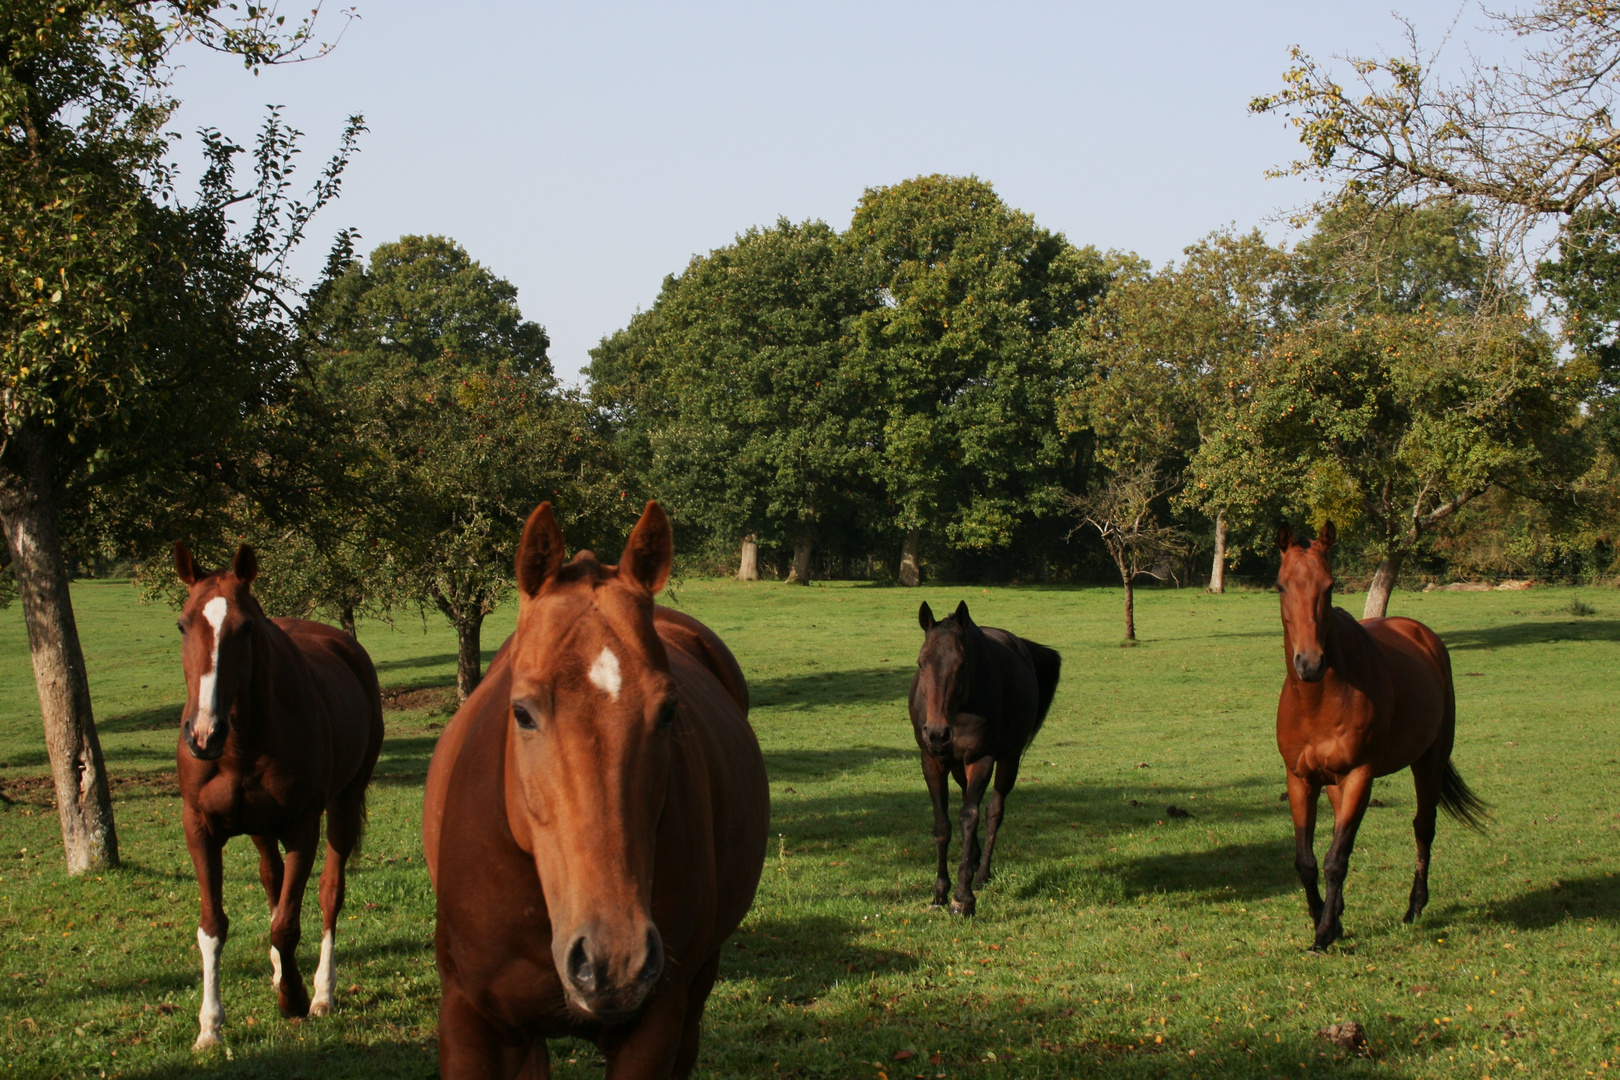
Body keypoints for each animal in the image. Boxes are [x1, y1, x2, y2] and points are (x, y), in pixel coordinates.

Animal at [172, 544, 383, 1049]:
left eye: (246, 628)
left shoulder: (302, 826)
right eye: (183, 625)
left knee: (329, 893)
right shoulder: (199, 828)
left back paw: (322, 991)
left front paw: (295, 998)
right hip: (260, 828)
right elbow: (213, 925)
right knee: (272, 880)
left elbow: (287, 925)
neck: (239, 745)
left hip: (343, 805)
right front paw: (210, 1025)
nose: (203, 734)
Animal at [913, 605, 1062, 919]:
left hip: (1008, 759)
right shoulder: (931, 760)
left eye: (963, 664)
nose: (937, 733)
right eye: (921, 663)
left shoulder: (982, 760)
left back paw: (980, 872)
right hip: (957, 766)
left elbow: (971, 817)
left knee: (994, 810)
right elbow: (942, 824)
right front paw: (939, 892)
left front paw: (962, 898)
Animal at [1270, 524, 1483, 952]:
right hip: (1334, 783)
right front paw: (1324, 919)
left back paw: (1414, 907)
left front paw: (1323, 935)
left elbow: (1337, 860)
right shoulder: (1300, 779)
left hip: (1429, 761)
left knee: (1423, 827)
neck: (1318, 700)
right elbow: (1307, 861)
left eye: (1330, 585)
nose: (1310, 663)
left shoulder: (1359, 776)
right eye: (1281, 586)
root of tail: (1420, 633)